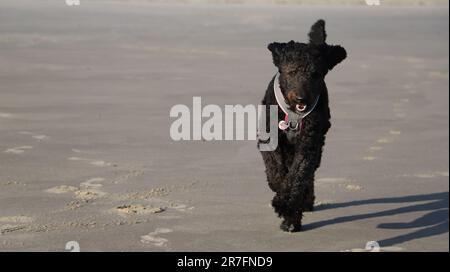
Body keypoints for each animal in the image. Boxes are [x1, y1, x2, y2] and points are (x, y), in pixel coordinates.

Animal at [258, 20, 346, 232]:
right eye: (291, 72)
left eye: (315, 74)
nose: (302, 98)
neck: (293, 114)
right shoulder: (269, 139)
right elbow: (276, 171)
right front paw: (279, 192)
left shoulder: (308, 144)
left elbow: (298, 175)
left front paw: (286, 204)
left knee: (309, 176)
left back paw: (297, 212)